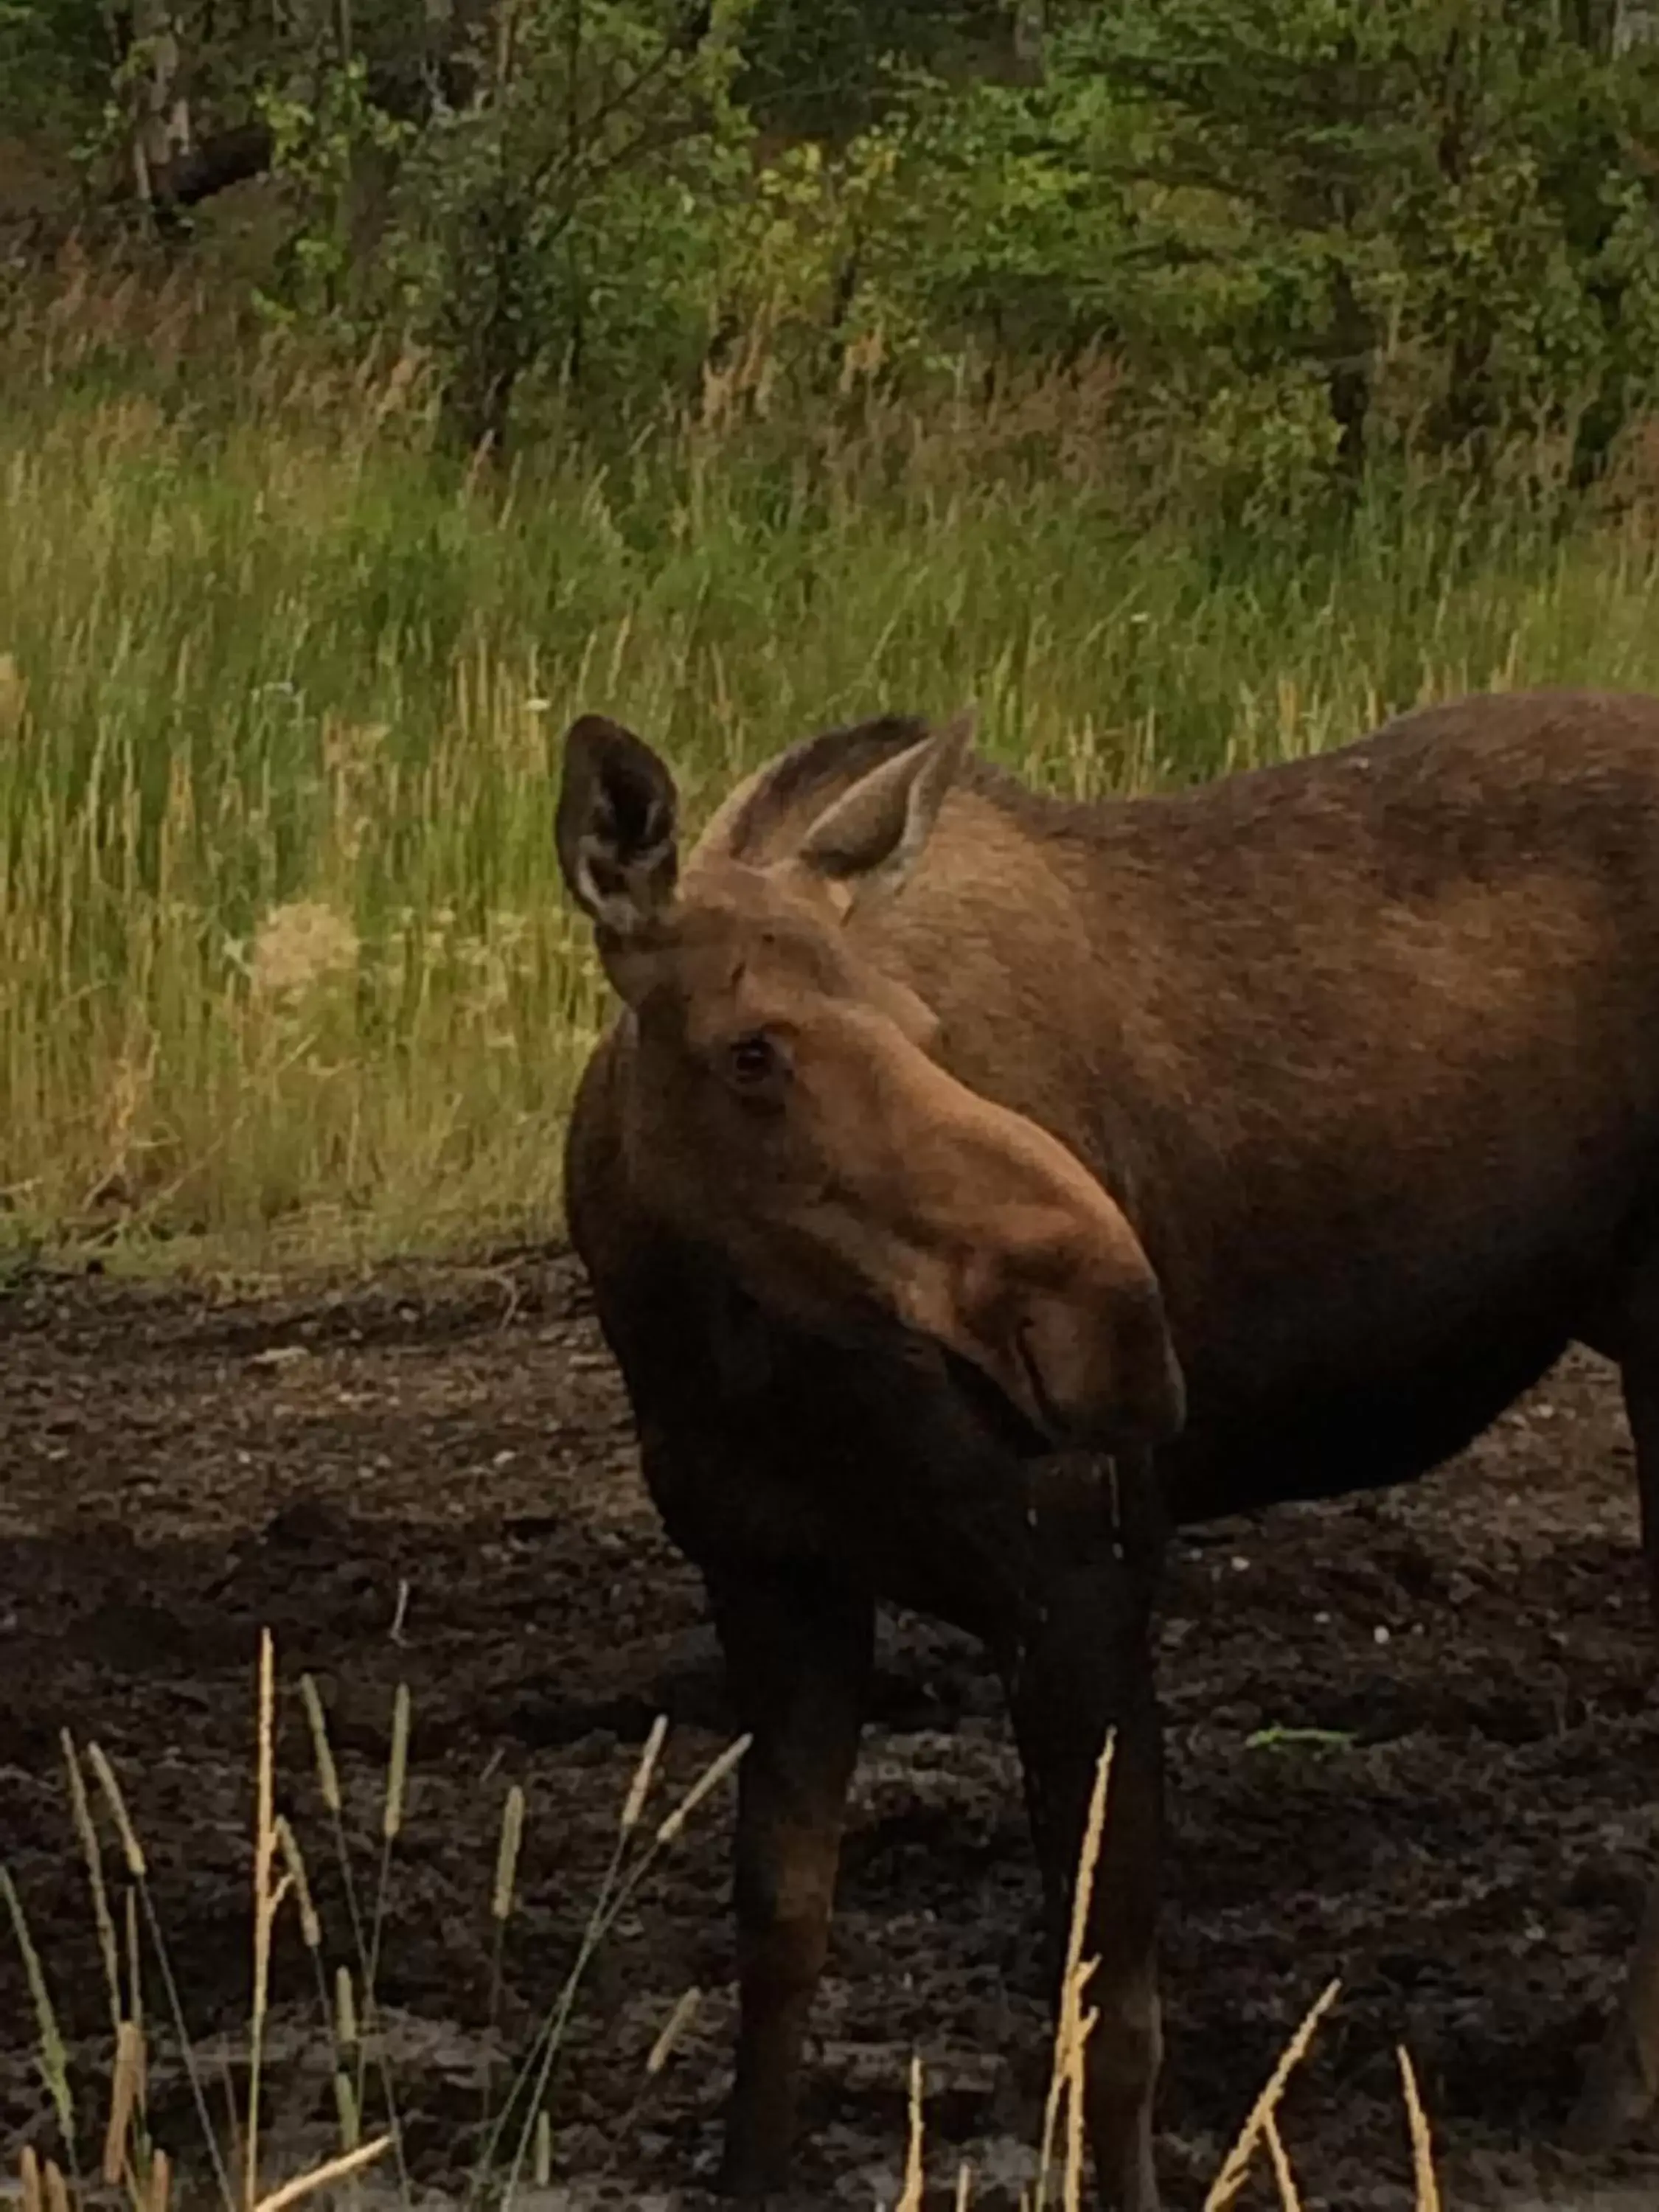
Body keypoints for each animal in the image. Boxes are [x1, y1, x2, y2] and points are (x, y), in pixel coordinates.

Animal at [562, 690, 1659, 2212]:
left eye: (925, 1028)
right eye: (752, 1050)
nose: (1116, 1325)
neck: (725, 1360)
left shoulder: (1080, 1577)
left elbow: (1108, 1999)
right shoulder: (770, 1574)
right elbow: (779, 1936)